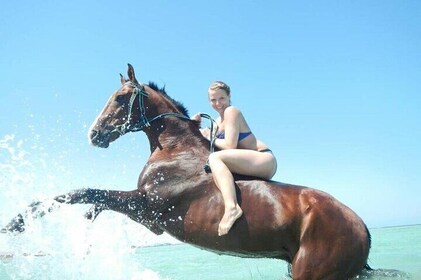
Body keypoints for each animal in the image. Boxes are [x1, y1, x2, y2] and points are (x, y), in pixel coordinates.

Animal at [3, 64, 370, 280]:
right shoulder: (144, 212)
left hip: (313, 272)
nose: (94, 134)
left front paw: (16, 223)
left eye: (121, 97)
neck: (174, 149)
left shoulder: (146, 207)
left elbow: (82, 192)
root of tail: (363, 228)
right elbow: (93, 199)